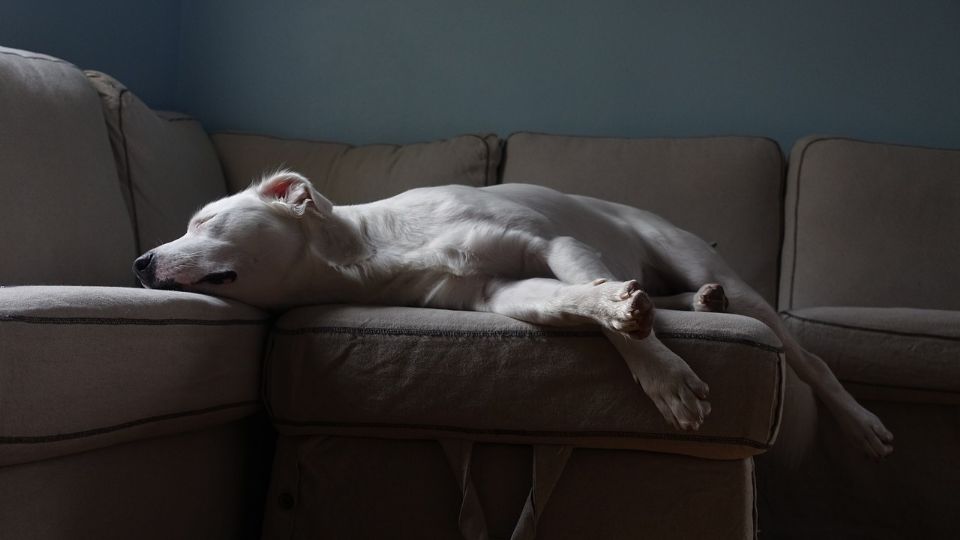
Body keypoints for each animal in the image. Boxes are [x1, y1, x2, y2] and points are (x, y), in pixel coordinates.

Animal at [133, 171, 892, 458]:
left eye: (204, 220)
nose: (140, 262)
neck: (370, 250)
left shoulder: (550, 245)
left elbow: (612, 315)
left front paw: (665, 374)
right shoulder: (502, 293)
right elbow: (587, 304)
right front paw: (639, 334)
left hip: (703, 263)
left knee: (808, 359)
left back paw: (861, 422)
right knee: (665, 291)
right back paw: (695, 304)